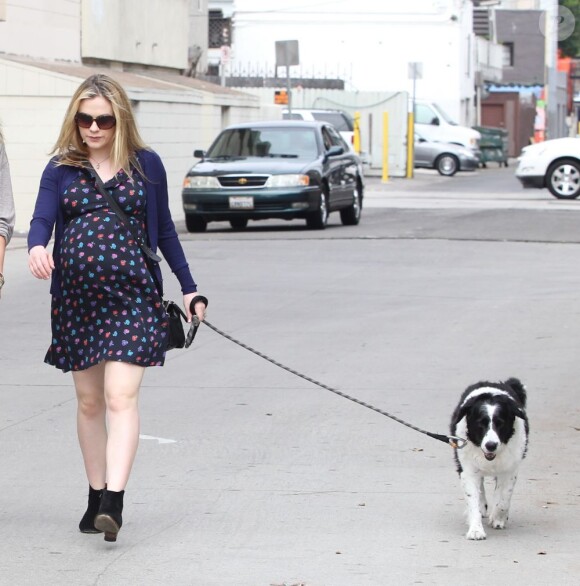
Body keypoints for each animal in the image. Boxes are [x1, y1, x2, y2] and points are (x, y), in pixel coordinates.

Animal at [450, 378, 528, 540]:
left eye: (501, 423)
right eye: (480, 423)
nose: (491, 445)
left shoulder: (510, 469)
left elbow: (504, 498)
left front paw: (498, 518)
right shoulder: (467, 469)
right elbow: (472, 498)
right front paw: (475, 529)